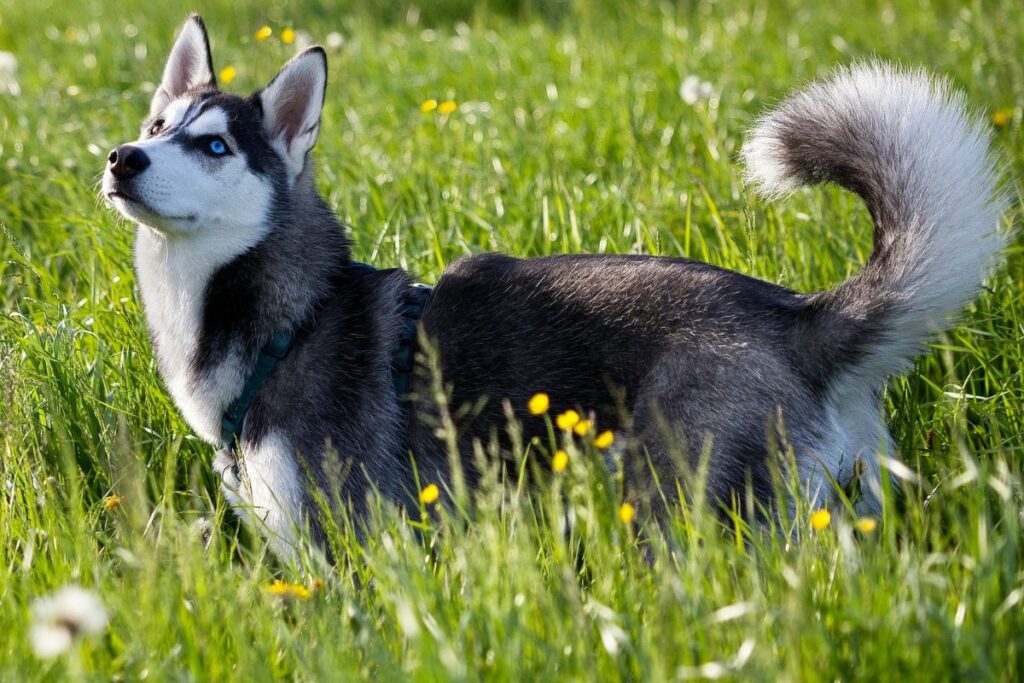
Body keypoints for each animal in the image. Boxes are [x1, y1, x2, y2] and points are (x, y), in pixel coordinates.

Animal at [101, 14, 1007, 557]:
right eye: (157, 126)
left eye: (215, 146)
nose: (122, 157)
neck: (294, 318)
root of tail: (798, 314)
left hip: (680, 513)